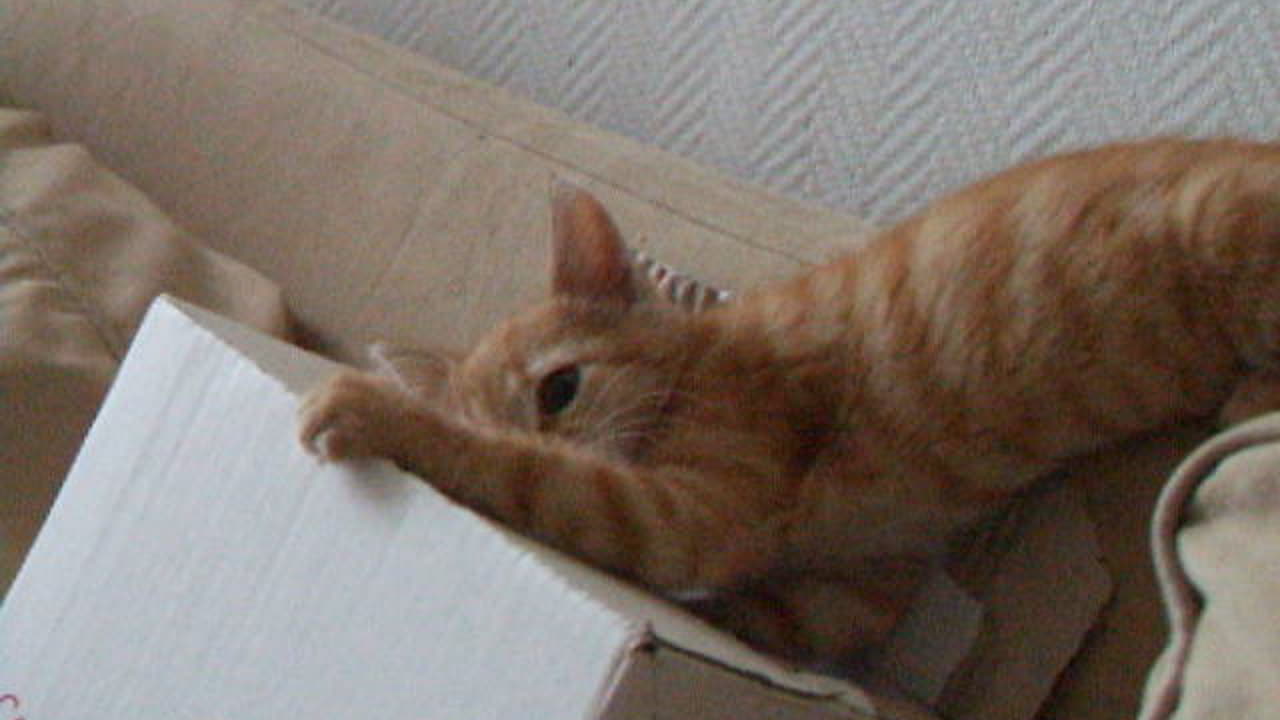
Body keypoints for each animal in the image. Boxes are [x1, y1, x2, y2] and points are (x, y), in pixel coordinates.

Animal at [302, 137, 1280, 666]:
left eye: (560, 389)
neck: (700, 364)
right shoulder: (859, 588)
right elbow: (780, 616)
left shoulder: (686, 513)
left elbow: (536, 478)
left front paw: (382, 414)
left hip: (1223, 223)